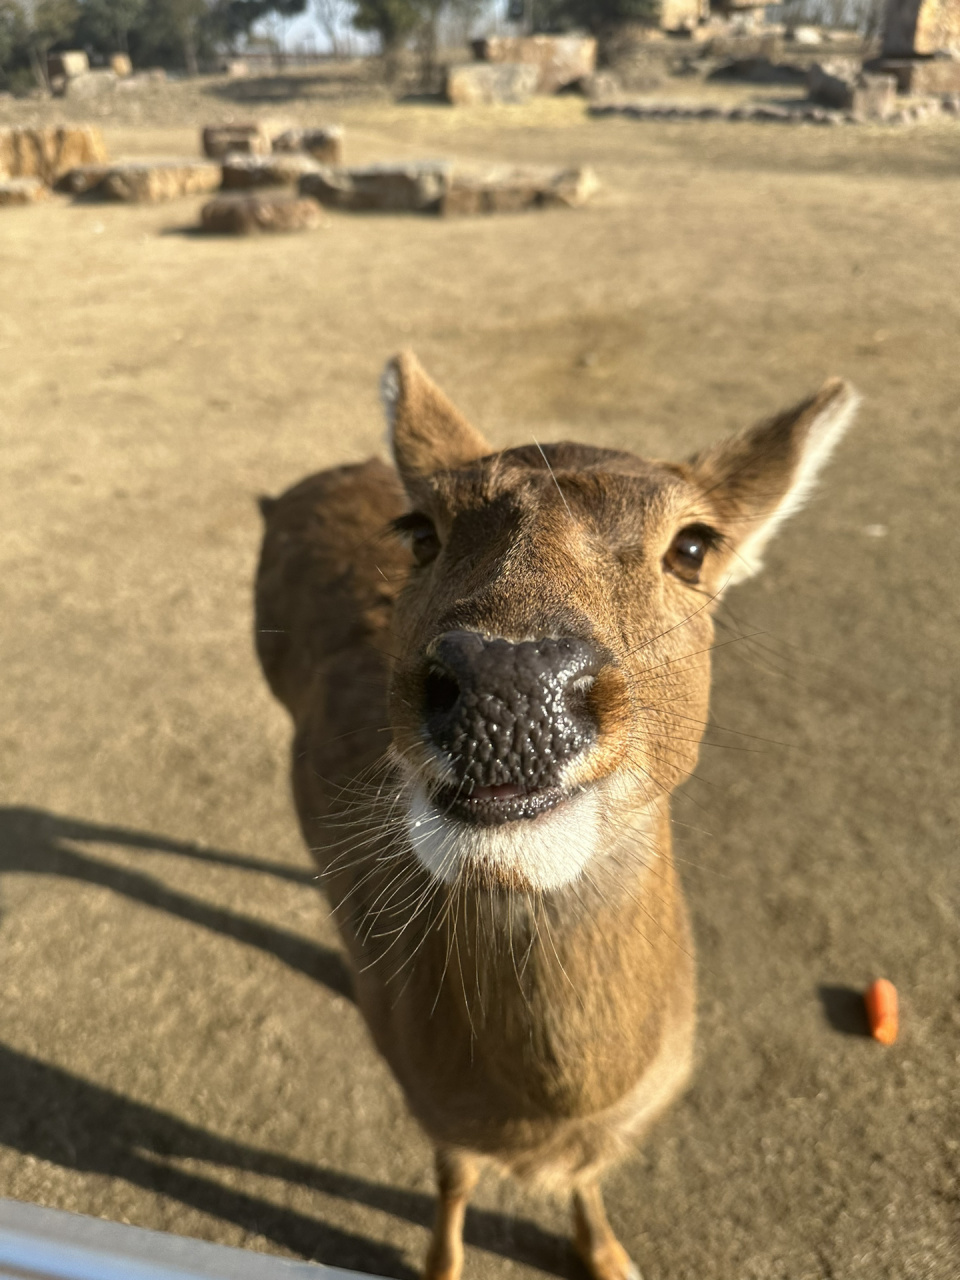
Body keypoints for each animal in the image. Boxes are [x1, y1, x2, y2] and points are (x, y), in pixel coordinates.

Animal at [253, 355, 855, 1280]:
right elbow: (453, 1179)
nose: (508, 683)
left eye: (693, 544)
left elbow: (590, 1180)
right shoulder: (429, 1104)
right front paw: (441, 1265)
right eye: (420, 530)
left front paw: (608, 1256)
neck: (551, 1111)